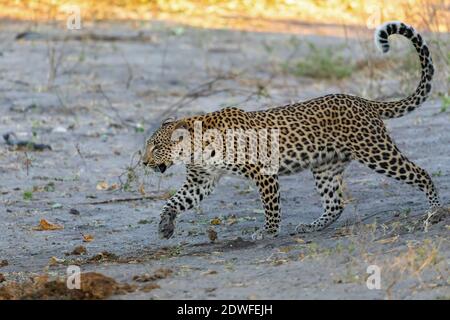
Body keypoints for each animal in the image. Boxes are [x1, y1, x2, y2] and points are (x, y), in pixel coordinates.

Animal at [143, 21, 442, 240]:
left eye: (156, 147)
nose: (144, 163)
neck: (196, 150)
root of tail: (364, 101)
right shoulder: (200, 181)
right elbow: (174, 201)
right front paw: (165, 225)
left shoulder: (262, 172)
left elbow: (271, 206)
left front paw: (268, 232)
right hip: (325, 166)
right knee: (335, 204)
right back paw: (311, 227)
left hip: (376, 152)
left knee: (421, 173)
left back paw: (436, 212)